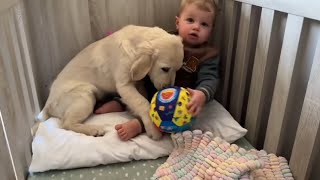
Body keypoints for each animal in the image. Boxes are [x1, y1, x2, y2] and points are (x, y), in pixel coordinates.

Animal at [39, 25, 184, 140]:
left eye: (178, 70)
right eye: (165, 69)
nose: (169, 88)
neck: (134, 45)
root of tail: (47, 105)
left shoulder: (138, 83)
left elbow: (140, 97)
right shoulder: (124, 85)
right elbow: (142, 102)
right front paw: (153, 128)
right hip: (84, 95)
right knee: (66, 123)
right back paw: (94, 130)